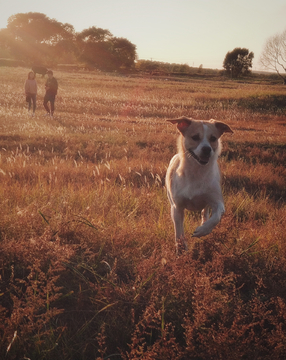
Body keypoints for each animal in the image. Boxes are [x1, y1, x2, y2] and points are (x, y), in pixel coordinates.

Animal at [164, 116, 233, 252]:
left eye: (213, 138)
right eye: (195, 137)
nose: (207, 149)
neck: (197, 172)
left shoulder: (217, 201)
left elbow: (217, 215)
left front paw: (203, 230)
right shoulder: (177, 207)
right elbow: (179, 231)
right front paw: (181, 247)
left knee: (205, 211)